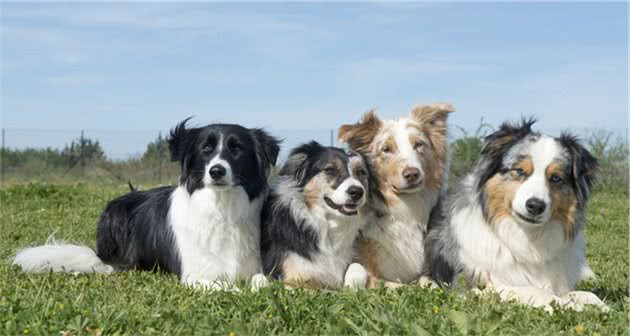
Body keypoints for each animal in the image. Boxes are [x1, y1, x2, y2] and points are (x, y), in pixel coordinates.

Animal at [11, 119, 278, 290]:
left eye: (236, 149)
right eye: (206, 148)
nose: (216, 171)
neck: (221, 208)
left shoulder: (254, 268)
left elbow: (262, 282)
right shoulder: (193, 275)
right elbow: (223, 286)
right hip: (116, 220)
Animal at [260, 142, 382, 288]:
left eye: (362, 172)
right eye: (330, 170)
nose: (357, 192)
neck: (329, 226)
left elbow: (358, 267)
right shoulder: (293, 278)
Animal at [424, 119, 612, 312]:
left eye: (556, 178)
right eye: (520, 171)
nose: (535, 206)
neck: (526, 238)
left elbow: (586, 294)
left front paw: (601, 307)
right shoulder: (477, 287)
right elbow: (536, 291)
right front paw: (569, 306)